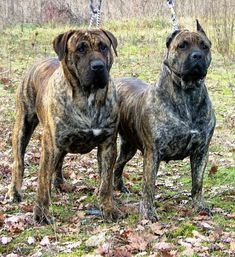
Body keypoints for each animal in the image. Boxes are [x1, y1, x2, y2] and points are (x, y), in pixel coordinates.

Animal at [5, 28, 119, 223]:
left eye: (104, 47)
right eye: (80, 49)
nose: (98, 66)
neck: (87, 96)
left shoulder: (108, 144)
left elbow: (106, 181)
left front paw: (108, 208)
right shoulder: (50, 144)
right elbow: (42, 181)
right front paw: (42, 213)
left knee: (58, 163)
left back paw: (60, 184)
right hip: (23, 126)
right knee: (18, 162)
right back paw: (15, 192)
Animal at [114, 20, 217, 220]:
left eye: (204, 46)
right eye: (182, 45)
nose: (197, 56)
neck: (187, 92)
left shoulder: (201, 151)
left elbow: (198, 182)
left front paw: (199, 205)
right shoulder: (153, 153)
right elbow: (149, 186)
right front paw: (147, 212)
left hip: (129, 147)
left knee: (118, 165)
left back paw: (120, 188)